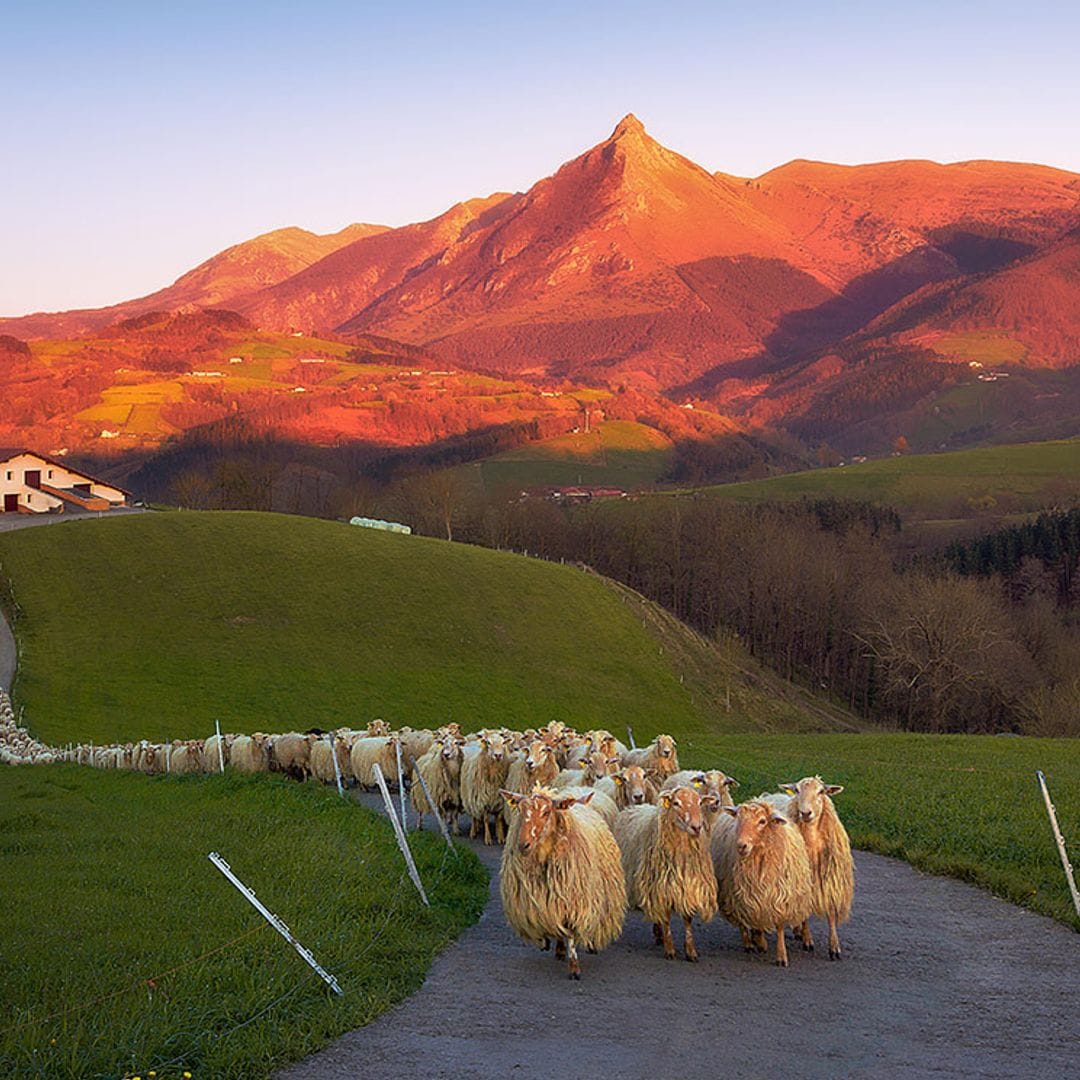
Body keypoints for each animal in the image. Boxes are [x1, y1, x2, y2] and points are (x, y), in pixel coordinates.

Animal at [496, 786, 626, 980]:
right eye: (520, 809)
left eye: (546, 812)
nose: (523, 845)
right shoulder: (546, 900)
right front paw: (547, 943)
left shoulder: (574, 901)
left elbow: (571, 933)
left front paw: (574, 968)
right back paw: (558, 949)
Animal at [617, 786, 717, 963]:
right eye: (676, 803)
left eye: (700, 803)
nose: (696, 827)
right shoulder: (661, 886)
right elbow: (666, 918)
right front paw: (670, 949)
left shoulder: (688, 885)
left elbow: (688, 919)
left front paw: (690, 951)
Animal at [708, 794, 812, 972]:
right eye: (738, 818)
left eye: (762, 821)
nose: (741, 845)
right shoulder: (748, 894)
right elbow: (751, 919)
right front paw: (758, 941)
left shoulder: (779, 895)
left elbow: (779, 926)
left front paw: (781, 956)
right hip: (733, 893)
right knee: (743, 920)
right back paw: (750, 943)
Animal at [773, 777, 855, 963]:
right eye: (796, 790)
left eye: (821, 791)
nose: (805, 813)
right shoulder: (803, 881)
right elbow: (805, 913)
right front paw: (808, 939)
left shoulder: (830, 880)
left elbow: (831, 913)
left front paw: (834, 947)